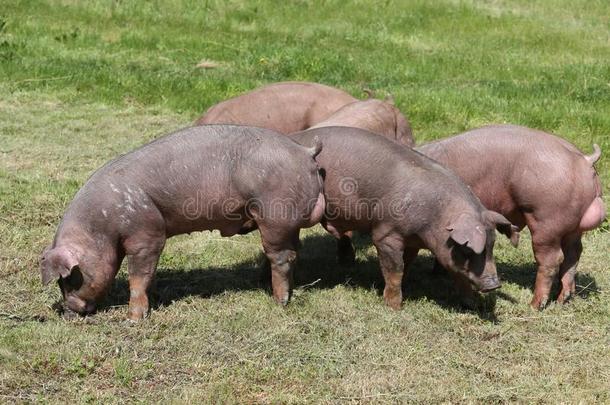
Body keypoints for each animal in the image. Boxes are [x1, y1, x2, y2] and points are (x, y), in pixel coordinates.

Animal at [39, 124, 326, 320]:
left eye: (70, 279)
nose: (68, 313)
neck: (102, 225)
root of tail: (305, 152)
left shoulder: (147, 233)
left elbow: (138, 275)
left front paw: (134, 319)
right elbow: (148, 275)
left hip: (275, 214)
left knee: (282, 256)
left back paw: (278, 301)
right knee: (292, 252)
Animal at [288, 127, 512, 310]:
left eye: (492, 245)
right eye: (468, 249)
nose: (495, 284)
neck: (436, 216)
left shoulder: (414, 241)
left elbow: (420, 266)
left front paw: (473, 305)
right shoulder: (386, 234)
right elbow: (395, 269)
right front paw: (395, 307)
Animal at [414, 124, 604, 308]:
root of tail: (584, 159)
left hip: (546, 221)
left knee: (552, 259)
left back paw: (534, 305)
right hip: (573, 229)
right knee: (573, 254)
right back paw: (562, 299)